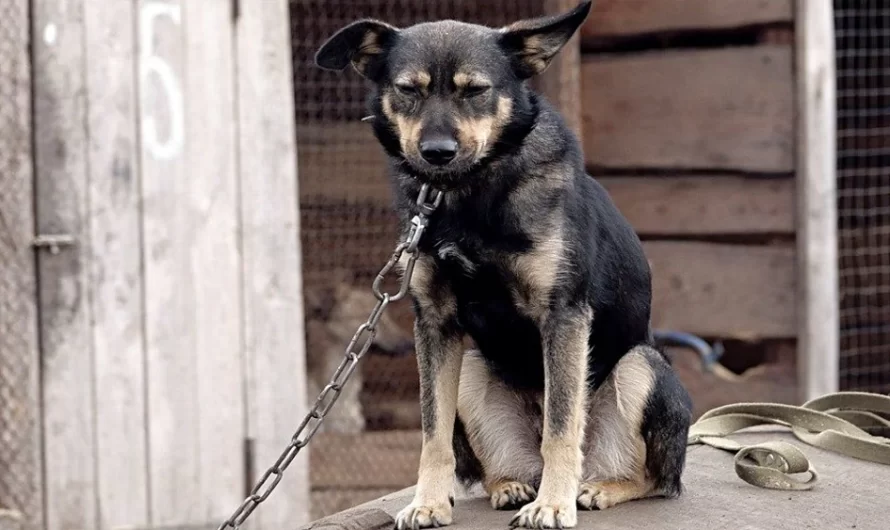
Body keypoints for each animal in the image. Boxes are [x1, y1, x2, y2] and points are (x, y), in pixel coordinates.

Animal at [316, 1, 692, 524]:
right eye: (408, 90)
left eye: (476, 90)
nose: (437, 153)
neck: (466, 198)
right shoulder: (434, 323)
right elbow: (432, 433)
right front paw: (428, 502)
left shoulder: (563, 316)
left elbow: (561, 427)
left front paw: (552, 506)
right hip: (472, 370)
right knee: (495, 465)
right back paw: (511, 485)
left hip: (643, 366)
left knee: (655, 479)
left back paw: (597, 489)